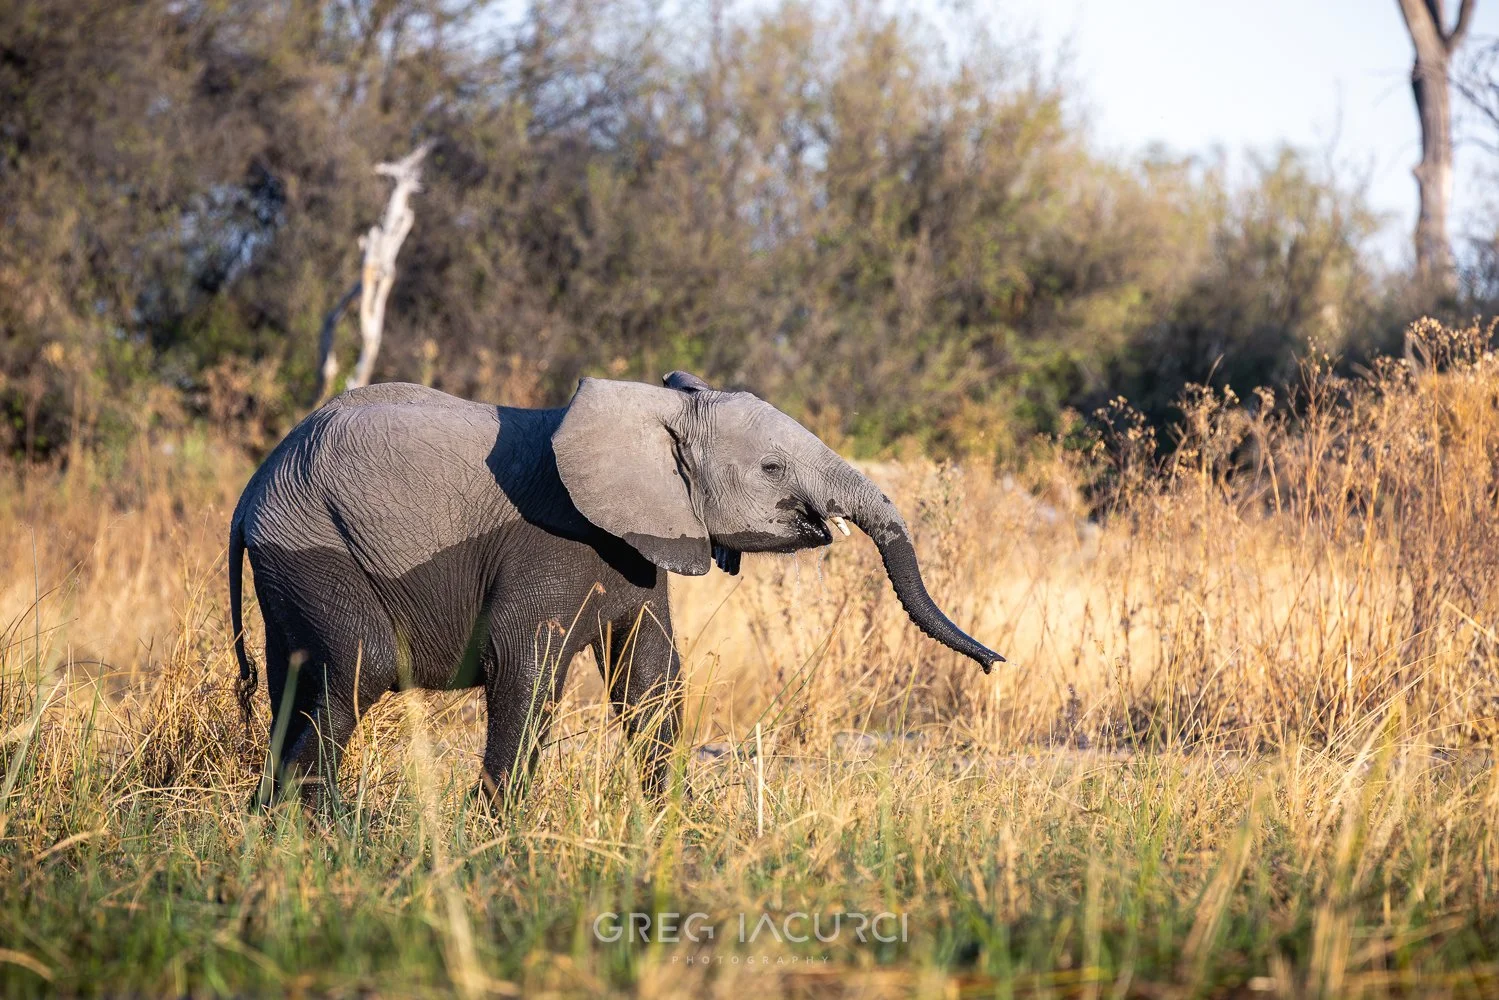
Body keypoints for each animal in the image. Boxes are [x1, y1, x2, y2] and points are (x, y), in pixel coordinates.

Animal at [228, 372, 1003, 807]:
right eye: (773, 467)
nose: (996, 662)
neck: (651, 412)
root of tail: (247, 496)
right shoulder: (548, 544)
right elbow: (527, 667)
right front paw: (500, 842)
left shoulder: (641, 542)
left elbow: (651, 681)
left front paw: (671, 832)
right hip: (317, 544)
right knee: (361, 667)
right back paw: (319, 830)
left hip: (290, 563)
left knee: (296, 680)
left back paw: (276, 827)